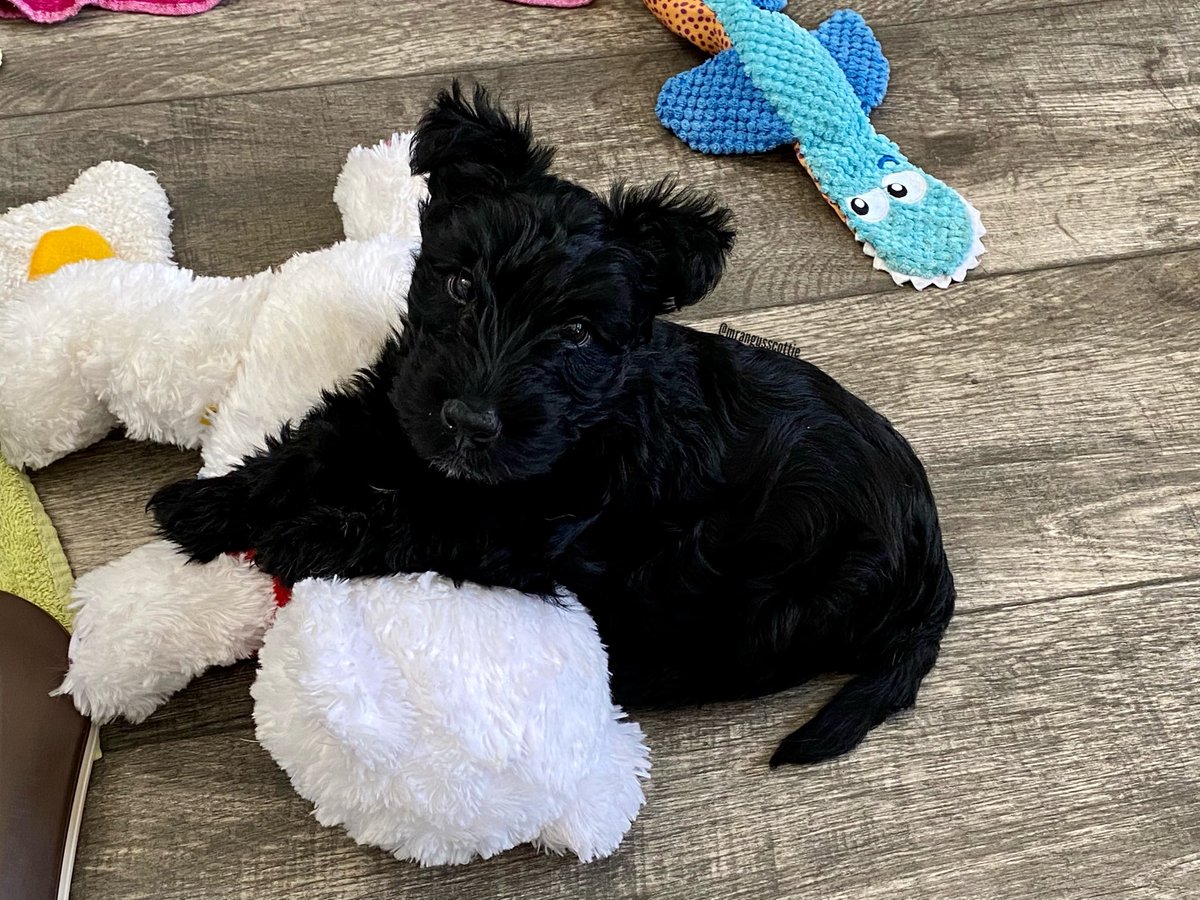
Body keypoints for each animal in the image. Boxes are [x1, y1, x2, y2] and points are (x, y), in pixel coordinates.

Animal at [152, 84, 955, 763]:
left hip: (778, 599)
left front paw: (305, 536)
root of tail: (931, 557)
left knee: (718, 659)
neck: (592, 416)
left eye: (575, 333)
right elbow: (312, 443)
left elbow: (412, 519)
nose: (470, 422)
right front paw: (208, 505)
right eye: (460, 285)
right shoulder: (395, 403)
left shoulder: (524, 527)